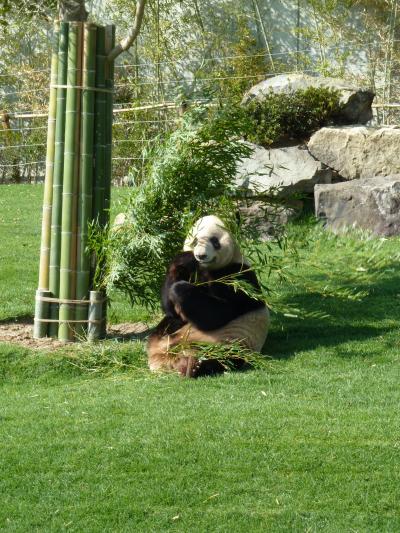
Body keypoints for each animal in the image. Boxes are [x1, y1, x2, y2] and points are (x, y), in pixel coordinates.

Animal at [146, 214, 268, 376]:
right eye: (195, 240)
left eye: (215, 241)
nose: (201, 255)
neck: (207, 268)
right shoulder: (193, 271)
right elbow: (172, 310)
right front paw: (184, 260)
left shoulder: (238, 277)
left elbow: (218, 313)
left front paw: (180, 289)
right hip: (168, 332)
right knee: (169, 324)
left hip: (231, 343)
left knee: (222, 359)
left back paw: (190, 365)